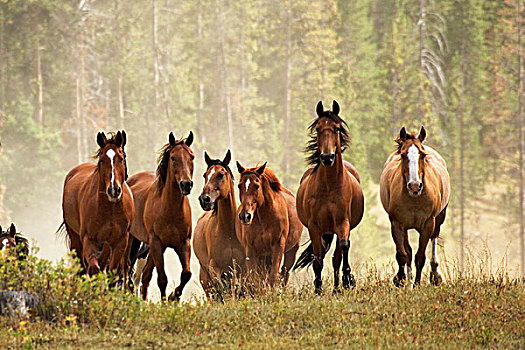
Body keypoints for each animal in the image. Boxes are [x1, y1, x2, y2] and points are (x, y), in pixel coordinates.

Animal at [62, 130, 135, 278]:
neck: (110, 210)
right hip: (75, 238)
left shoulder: (120, 242)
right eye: (102, 160)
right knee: (82, 267)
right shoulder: (89, 239)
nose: (113, 190)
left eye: (121, 158)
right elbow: (94, 269)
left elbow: (112, 272)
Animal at [127, 131, 194, 300]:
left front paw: (173, 297)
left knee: (144, 275)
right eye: (173, 157)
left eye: (192, 156)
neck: (169, 209)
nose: (186, 184)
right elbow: (162, 279)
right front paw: (166, 301)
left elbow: (186, 274)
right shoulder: (157, 243)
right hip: (133, 241)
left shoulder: (183, 243)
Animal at [192, 149, 246, 296]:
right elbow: (221, 290)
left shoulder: (241, 269)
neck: (228, 231)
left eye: (221, 174)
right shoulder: (215, 268)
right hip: (205, 277)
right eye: (205, 175)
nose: (204, 199)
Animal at [292, 101, 362, 296]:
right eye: (317, 128)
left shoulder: (342, 222)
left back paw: (338, 287)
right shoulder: (315, 227)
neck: (329, 186)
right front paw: (318, 288)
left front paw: (347, 279)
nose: (327, 157)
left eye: (337, 128)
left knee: (337, 256)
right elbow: (318, 258)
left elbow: (343, 248)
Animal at [378, 127, 448, 286]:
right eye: (403, 155)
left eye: (422, 155)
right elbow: (402, 255)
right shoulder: (397, 224)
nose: (415, 186)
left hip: (439, 219)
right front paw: (401, 279)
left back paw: (435, 275)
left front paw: (417, 284)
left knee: (434, 240)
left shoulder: (428, 223)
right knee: (408, 252)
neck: (415, 199)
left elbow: (420, 256)